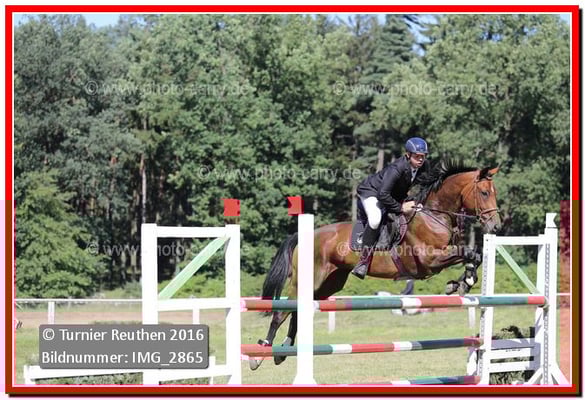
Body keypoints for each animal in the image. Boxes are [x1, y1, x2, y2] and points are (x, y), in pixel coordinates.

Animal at [249, 161, 501, 370]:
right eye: (484, 192)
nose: (496, 227)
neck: (434, 216)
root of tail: (305, 235)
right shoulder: (430, 260)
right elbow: (467, 253)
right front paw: (462, 282)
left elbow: (474, 255)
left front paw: (462, 283)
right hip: (307, 280)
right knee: (281, 313)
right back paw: (260, 354)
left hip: (328, 285)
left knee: (296, 312)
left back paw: (283, 350)